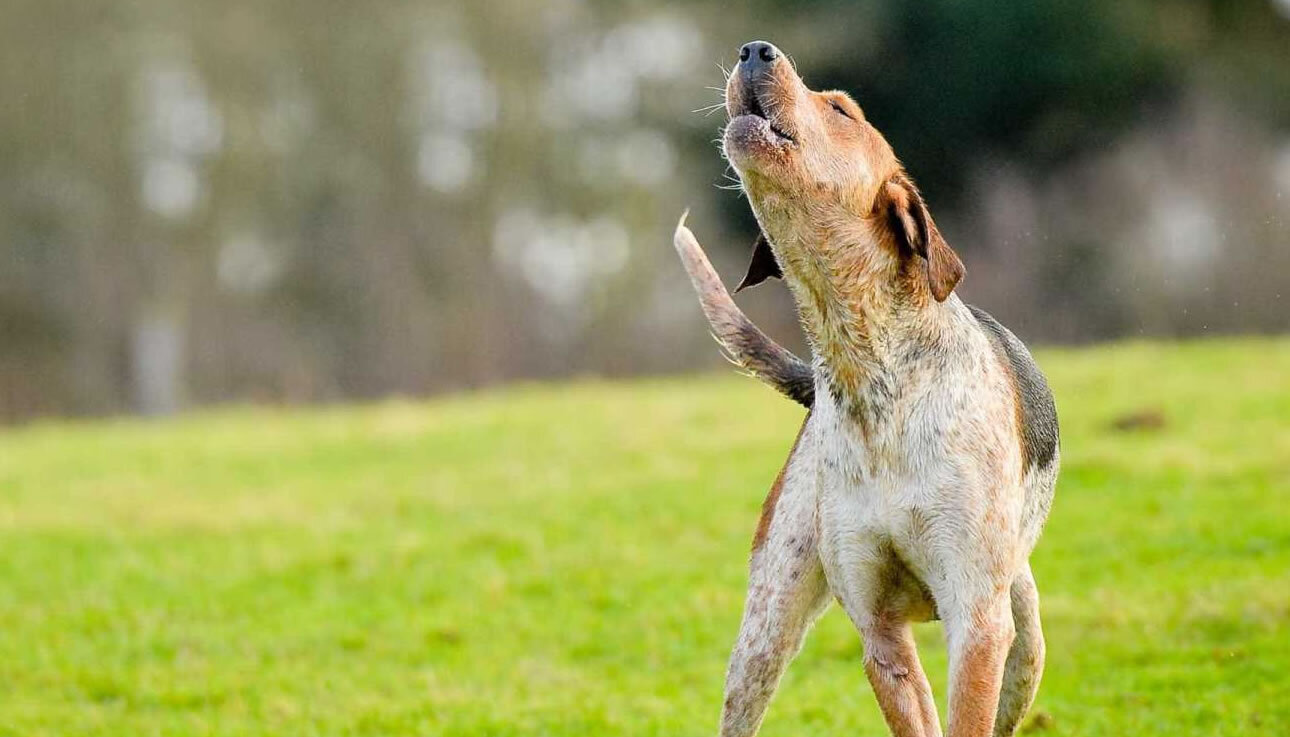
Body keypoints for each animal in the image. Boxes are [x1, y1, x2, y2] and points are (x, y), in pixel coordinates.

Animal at [675, 41, 1057, 737]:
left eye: (841, 111)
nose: (754, 50)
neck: (868, 376)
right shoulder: (880, 634)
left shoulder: (976, 624)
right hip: (763, 634)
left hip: (1022, 644)